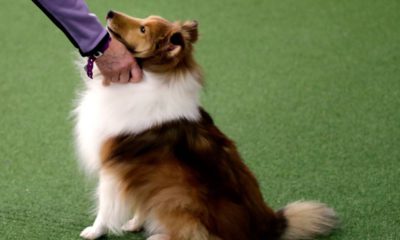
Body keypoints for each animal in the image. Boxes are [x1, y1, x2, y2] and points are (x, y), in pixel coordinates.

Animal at [72, 10, 338, 239]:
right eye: (144, 21)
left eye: (143, 29)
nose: (109, 12)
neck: (149, 75)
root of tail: (269, 226)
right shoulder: (141, 175)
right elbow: (141, 201)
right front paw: (135, 223)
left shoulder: (112, 167)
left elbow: (105, 208)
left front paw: (93, 232)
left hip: (181, 199)